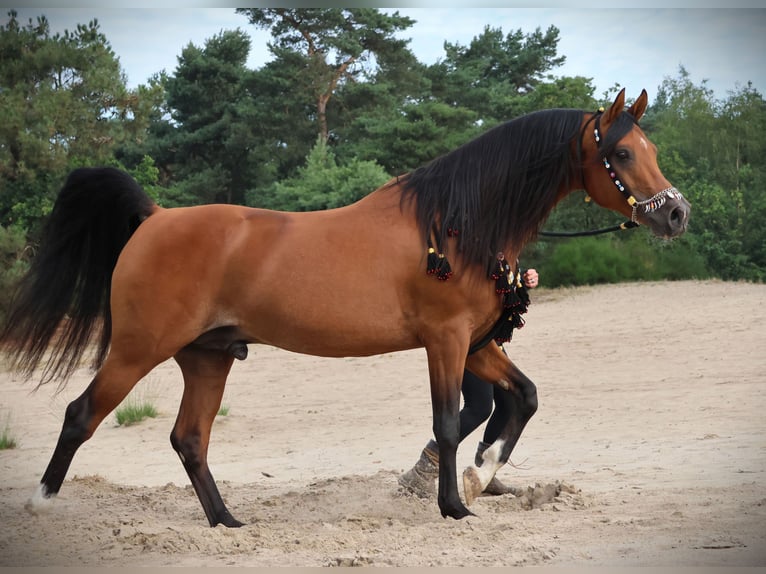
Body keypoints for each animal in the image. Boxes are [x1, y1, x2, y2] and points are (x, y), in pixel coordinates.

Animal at [0, 89, 692, 528]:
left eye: (652, 149)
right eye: (621, 153)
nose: (677, 214)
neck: (457, 221)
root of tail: (155, 217)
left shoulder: (477, 342)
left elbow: (523, 396)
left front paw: (485, 470)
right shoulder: (445, 340)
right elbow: (448, 423)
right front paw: (454, 506)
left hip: (207, 358)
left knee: (189, 439)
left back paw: (228, 522)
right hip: (139, 347)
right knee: (81, 415)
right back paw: (41, 505)